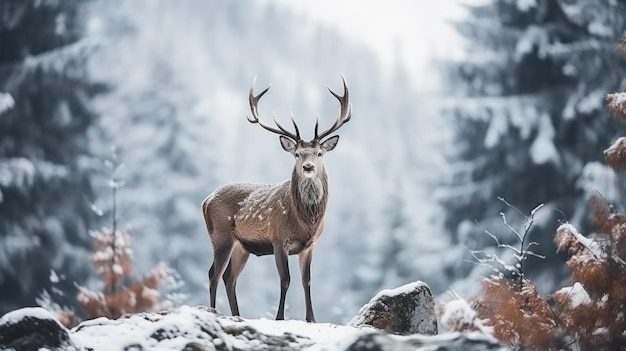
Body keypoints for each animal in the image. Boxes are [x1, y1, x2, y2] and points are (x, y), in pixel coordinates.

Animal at [202, 75, 354, 324]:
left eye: (319, 153)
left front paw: (311, 319)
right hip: (221, 235)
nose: (308, 167)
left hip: (241, 246)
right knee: (214, 273)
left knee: (229, 277)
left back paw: (237, 314)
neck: (305, 221)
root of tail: (205, 201)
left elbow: (307, 281)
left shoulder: (309, 245)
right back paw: (214, 311)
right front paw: (279, 317)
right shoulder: (278, 240)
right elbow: (286, 279)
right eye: (297, 154)